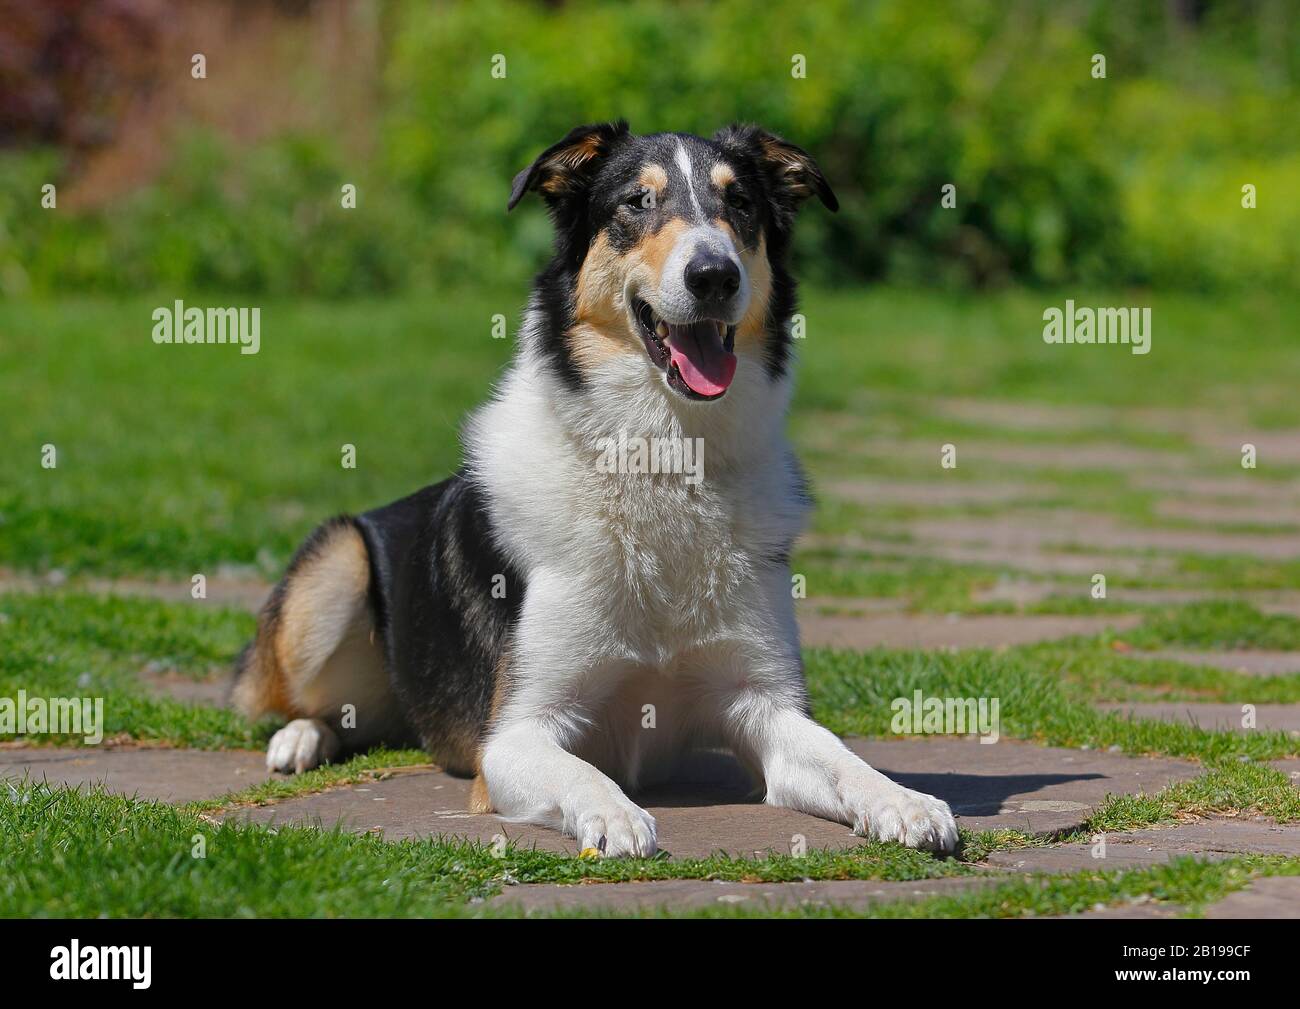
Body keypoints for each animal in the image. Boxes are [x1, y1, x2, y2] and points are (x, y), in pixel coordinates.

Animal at [233, 122, 961, 852]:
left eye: (742, 204)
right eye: (637, 202)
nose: (714, 275)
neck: (661, 459)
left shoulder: (766, 705)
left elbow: (842, 757)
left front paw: (905, 800)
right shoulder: (514, 733)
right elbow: (582, 773)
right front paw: (615, 816)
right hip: (336, 565)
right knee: (300, 701)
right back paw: (297, 739)